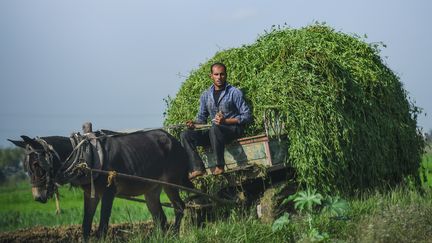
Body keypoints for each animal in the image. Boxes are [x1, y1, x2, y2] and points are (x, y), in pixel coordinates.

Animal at [9, 130, 192, 240]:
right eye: (26, 166)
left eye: (37, 165)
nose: (37, 197)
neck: (85, 156)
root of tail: (174, 140)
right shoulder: (91, 194)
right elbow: (86, 225)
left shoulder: (109, 192)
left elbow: (103, 225)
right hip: (152, 189)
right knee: (160, 217)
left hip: (171, 183)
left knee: (179, 207)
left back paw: (175, 235)